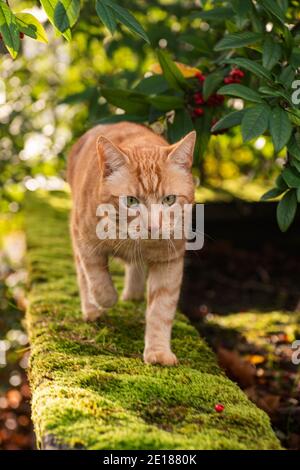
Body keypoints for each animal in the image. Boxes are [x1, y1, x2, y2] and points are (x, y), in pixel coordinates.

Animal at [67, 123, 196, 366]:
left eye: (169, 200)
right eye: (131, 201)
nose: (153, 225)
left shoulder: (169, 260)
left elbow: (160, 310)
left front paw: (158, 352)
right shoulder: (85, 240)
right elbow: (97, 278)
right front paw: (106, 299)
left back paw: (133, 293)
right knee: (82, 274)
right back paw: (92, 309)